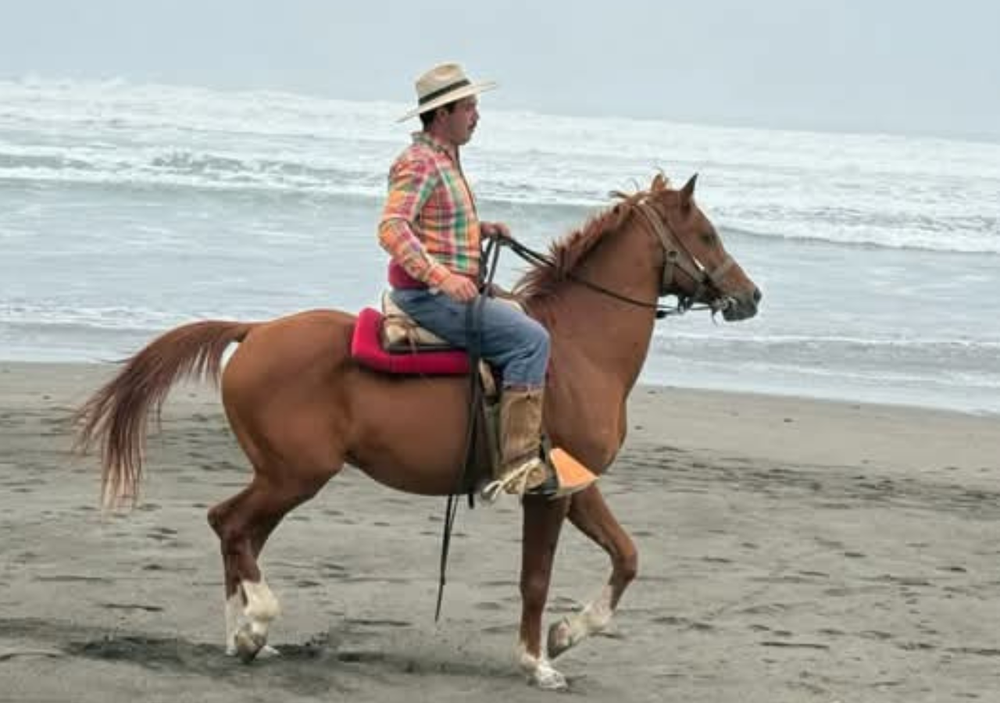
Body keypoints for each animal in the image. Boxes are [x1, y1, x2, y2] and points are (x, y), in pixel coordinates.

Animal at [75, 173, 761, 690]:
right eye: (706, 233)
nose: (750, 295)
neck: (579, 346)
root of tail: (255, 331)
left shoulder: (573, 483)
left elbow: (626, 556)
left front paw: (567, 635)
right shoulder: (548, 492)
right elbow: (536, 578)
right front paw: (537, 661)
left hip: (281, 477)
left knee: (239, 534)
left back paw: (244, 637)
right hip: (296, 475)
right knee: (231, 525)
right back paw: (256, 622)